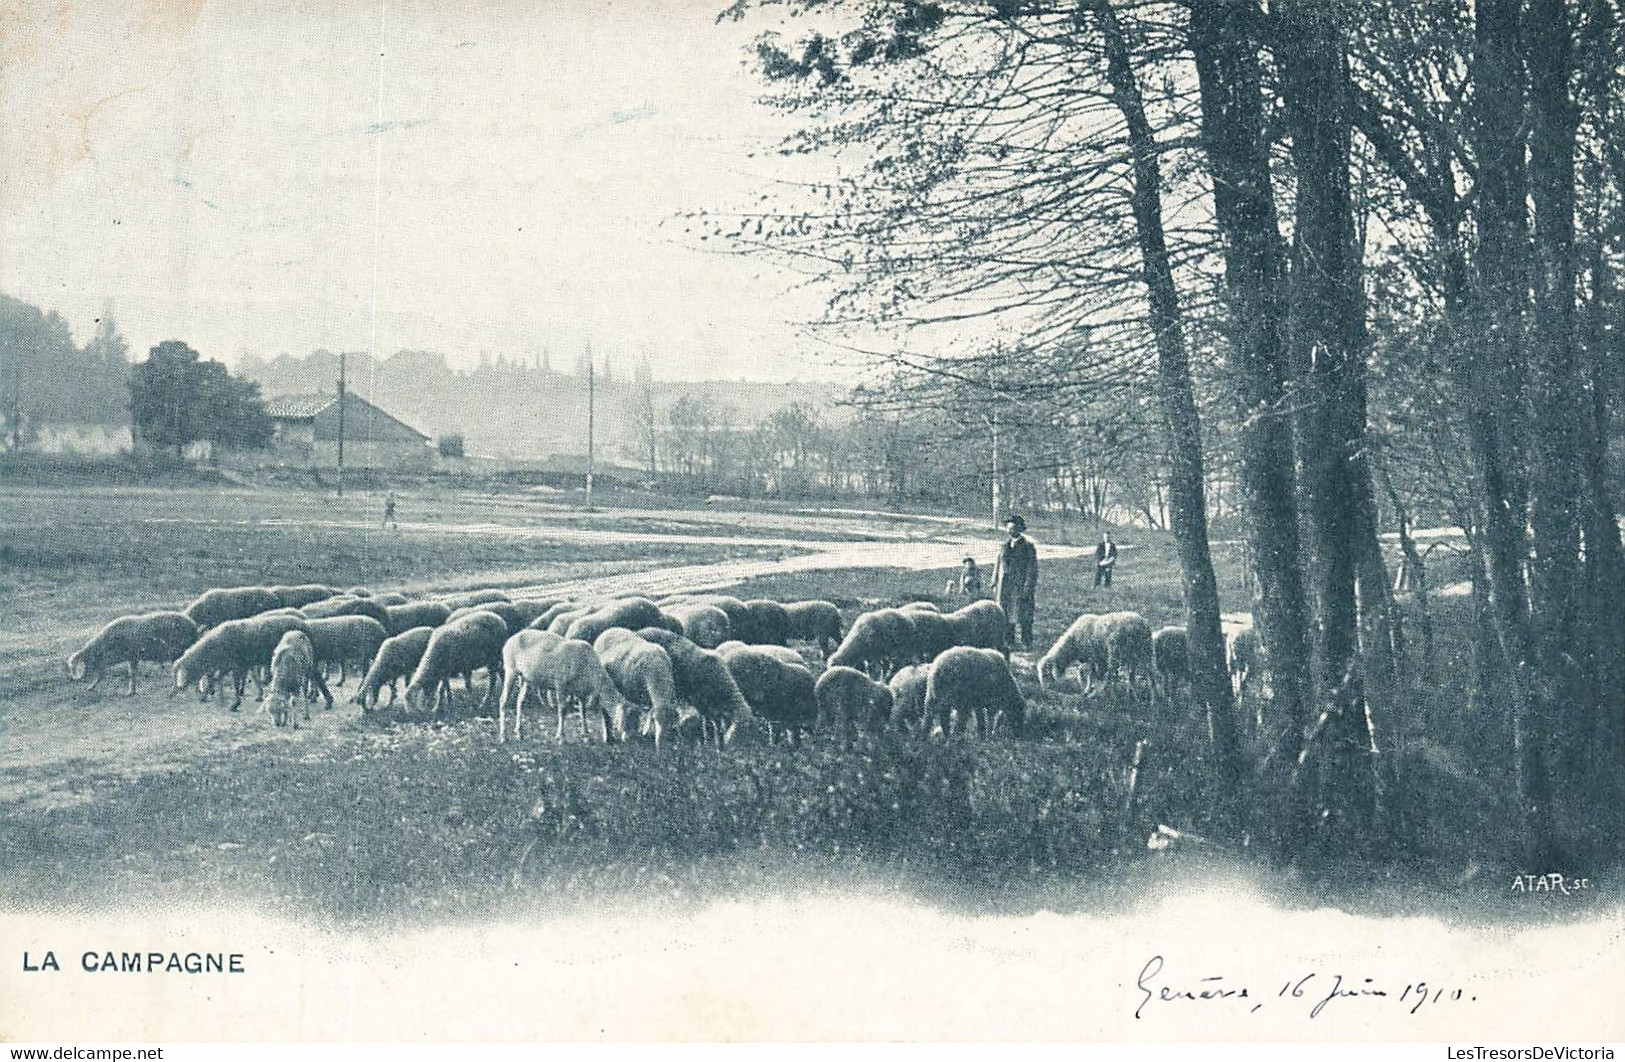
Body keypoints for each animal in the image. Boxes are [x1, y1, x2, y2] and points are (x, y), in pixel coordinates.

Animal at [67, 610, 198, 695]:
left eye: (87, 661)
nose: (79, 679)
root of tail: (193, 626)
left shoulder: (130, 656)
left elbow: (130, 674)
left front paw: (129, 692)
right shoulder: (132, 658)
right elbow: (131, 674)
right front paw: (131, 692)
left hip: (179, 652)